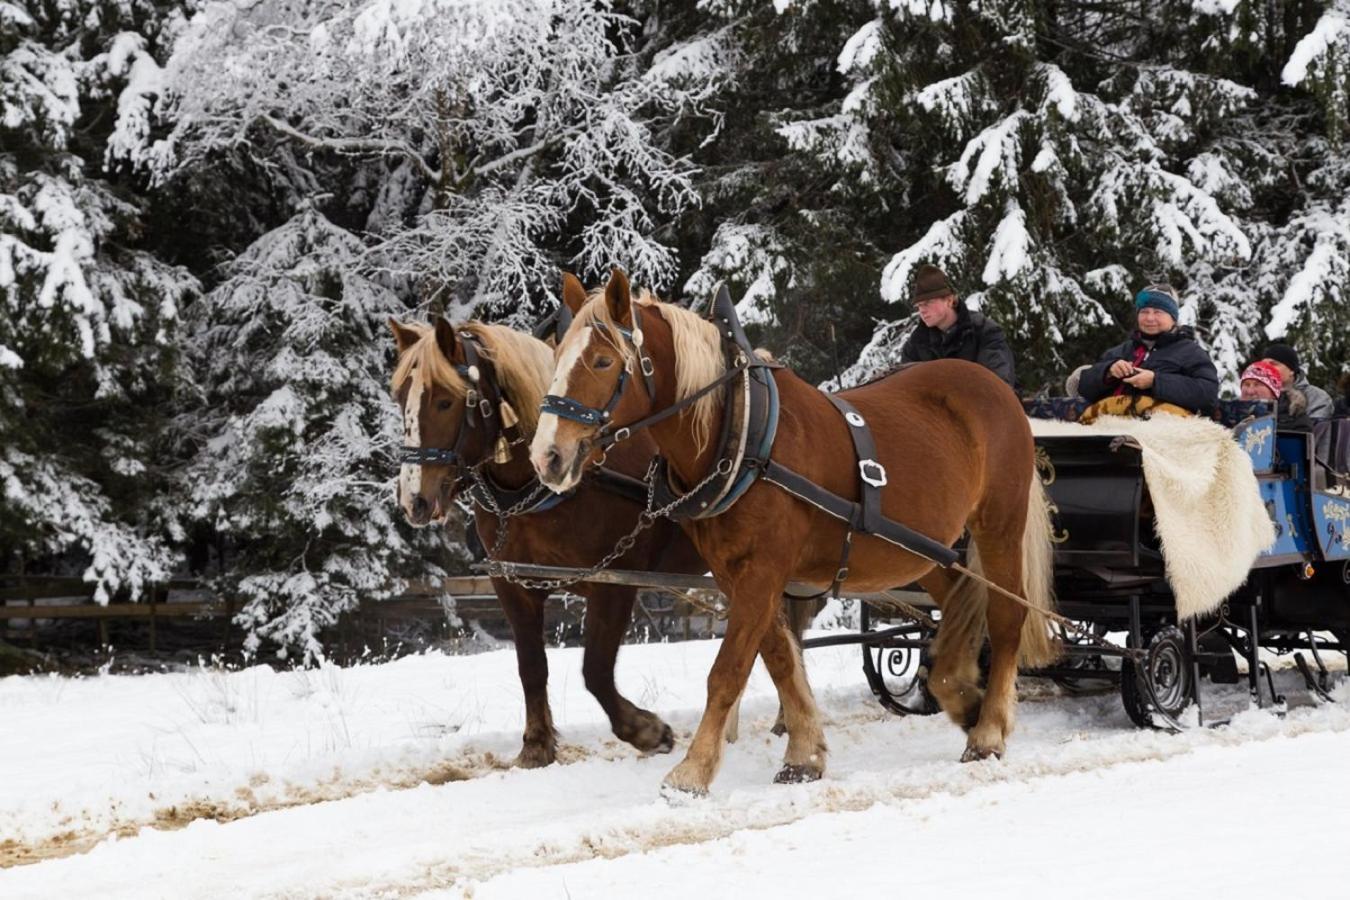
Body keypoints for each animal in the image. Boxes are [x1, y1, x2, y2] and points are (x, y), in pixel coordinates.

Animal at [388, 290, 712, 766]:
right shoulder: (514, 584)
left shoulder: (614, 581)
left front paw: (645, 730)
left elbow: (595, 669)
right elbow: (531, 666)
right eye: (400, 399)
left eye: (445, 400)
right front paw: (536, 745)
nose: (414, 500)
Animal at [531, 272, 1058, 793]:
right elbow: (781, 660)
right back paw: (961, 693)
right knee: (960, 598)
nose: (547, 456)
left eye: (602, 361)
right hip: (917, 547)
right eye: (557, 357)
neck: (740, 431)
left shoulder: (763, 571)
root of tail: (996, 388)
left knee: (1006, 616)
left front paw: (692, 772)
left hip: (998, 524)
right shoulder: (736, 574)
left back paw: (988, 731)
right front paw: (804, 754)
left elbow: (728, 671)